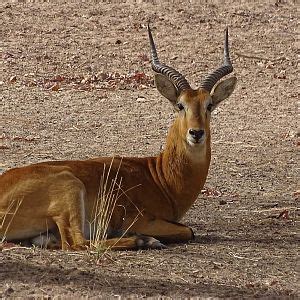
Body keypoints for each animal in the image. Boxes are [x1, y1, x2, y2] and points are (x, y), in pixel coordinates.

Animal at [0, 25, 237, 251]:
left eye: (209, 105)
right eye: (180, 105)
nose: (196, 133)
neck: (160, 177)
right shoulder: (139, 219)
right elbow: (188, 230)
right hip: (70, 189)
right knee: (77, 243)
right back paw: (144, 241)